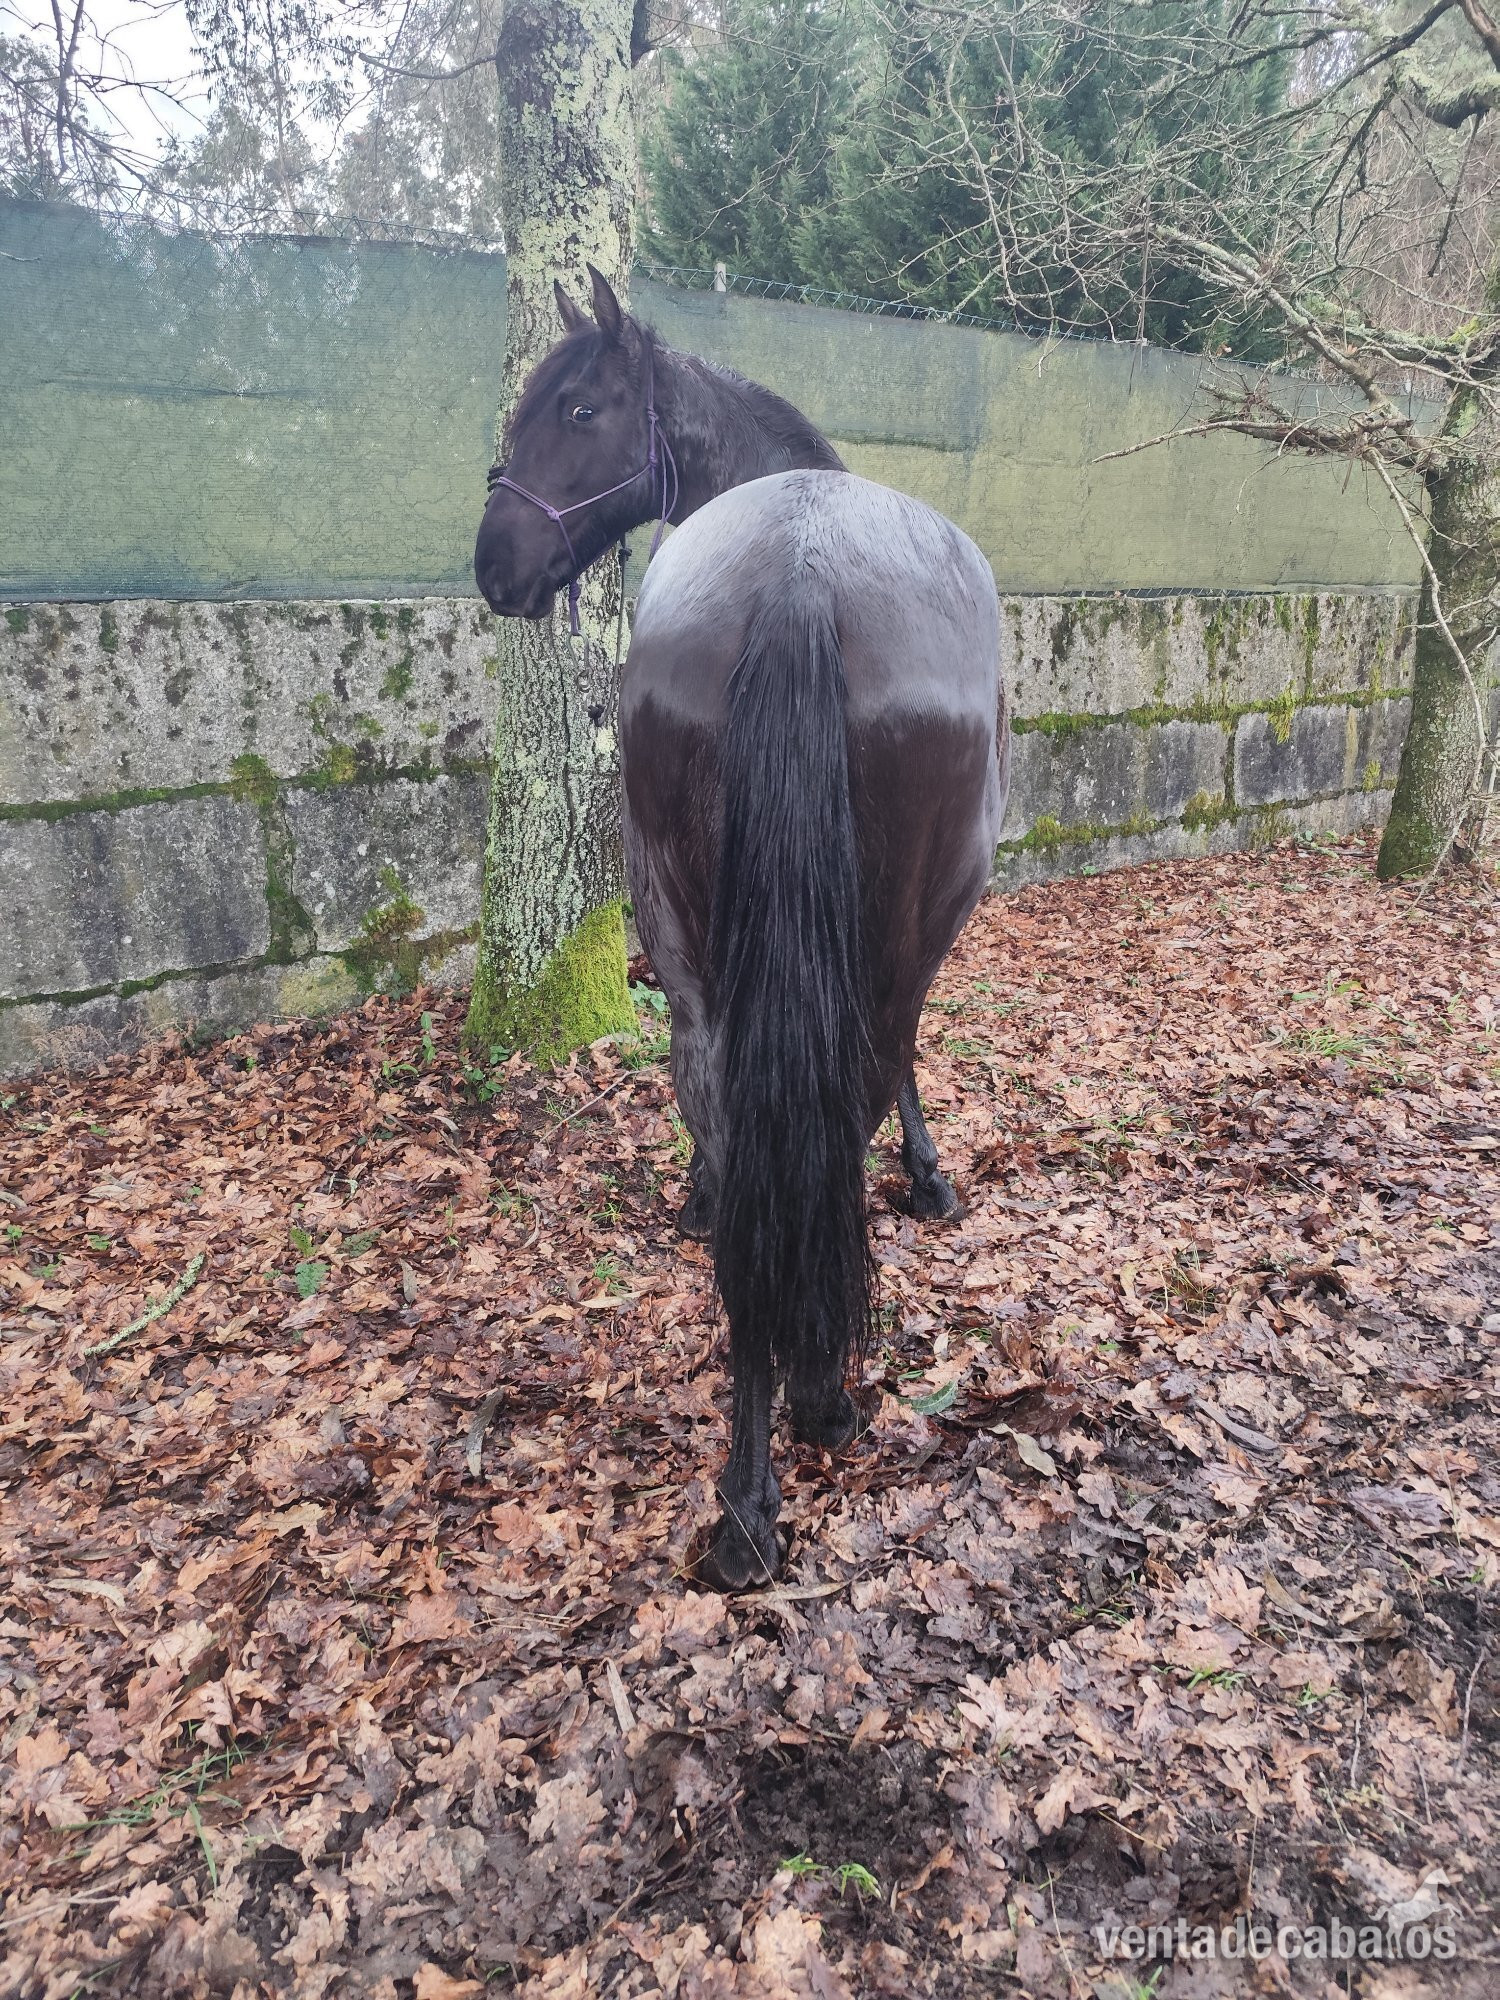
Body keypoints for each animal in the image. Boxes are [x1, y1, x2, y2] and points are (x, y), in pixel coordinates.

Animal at [475, 266, 1009, 1589]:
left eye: (579, 409)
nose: (495, 563)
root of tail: (800, 573)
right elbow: (904, 1066)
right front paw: (929, 1178)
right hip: (900, 921)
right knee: (848, 1088)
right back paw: (814, 1404)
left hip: (683, 926)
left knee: (724, 1091)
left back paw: (749, 1483)